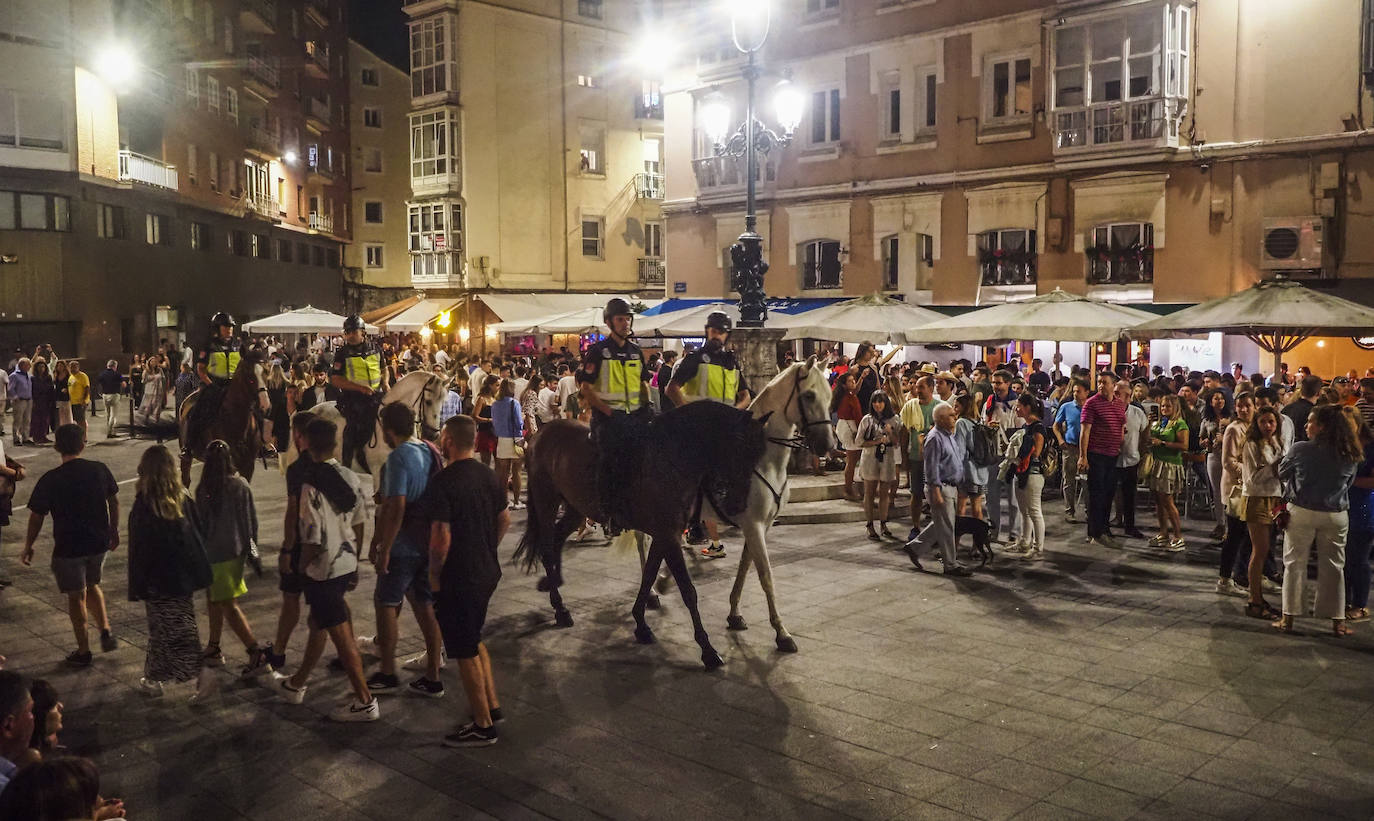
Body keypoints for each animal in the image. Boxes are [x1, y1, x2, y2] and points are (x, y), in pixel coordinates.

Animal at [516, 400, 774, 672]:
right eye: (739, 450)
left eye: (757, 455)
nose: (738, 505)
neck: (672, 458)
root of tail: (540, 434)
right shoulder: (668, 537)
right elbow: (688, 591)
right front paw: (708, 650)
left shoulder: (665, 535)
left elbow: (649, 575)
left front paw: (641, 623)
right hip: (546, 501)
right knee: (546, 549)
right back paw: (560, 608)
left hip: (576, 508)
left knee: (556, 541)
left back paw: (554, 586)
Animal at [703, 356, 829, 653]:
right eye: (809, 395)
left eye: (830, 395)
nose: (828, 445)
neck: (760, 457)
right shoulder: (754, 525)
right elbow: (766, 576)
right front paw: (782, 633)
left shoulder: (762, 525)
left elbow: (745, 567)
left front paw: (734, 614)